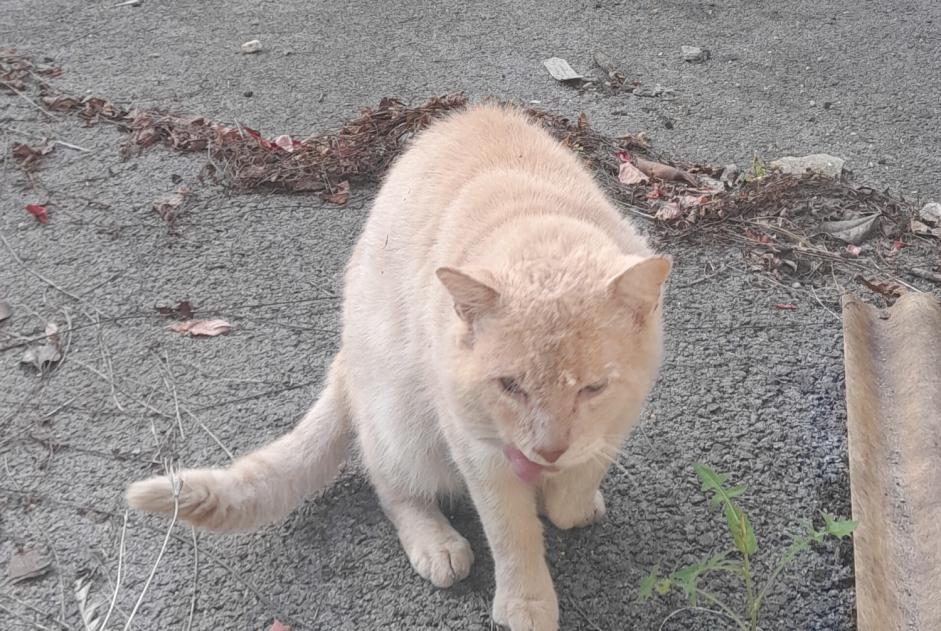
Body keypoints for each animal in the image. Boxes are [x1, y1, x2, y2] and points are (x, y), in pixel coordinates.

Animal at [129, 101, 672, 628]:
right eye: (509, 386)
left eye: (593, 389)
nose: (548, 449)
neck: (536, 220)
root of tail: (344, 363)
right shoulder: (475, 445)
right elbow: (511, 532)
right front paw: (526, 603)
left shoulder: (619, 416)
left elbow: (580, 480)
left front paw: (567, 499)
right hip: (401, 416)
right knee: (392, 486)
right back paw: (437, 543)